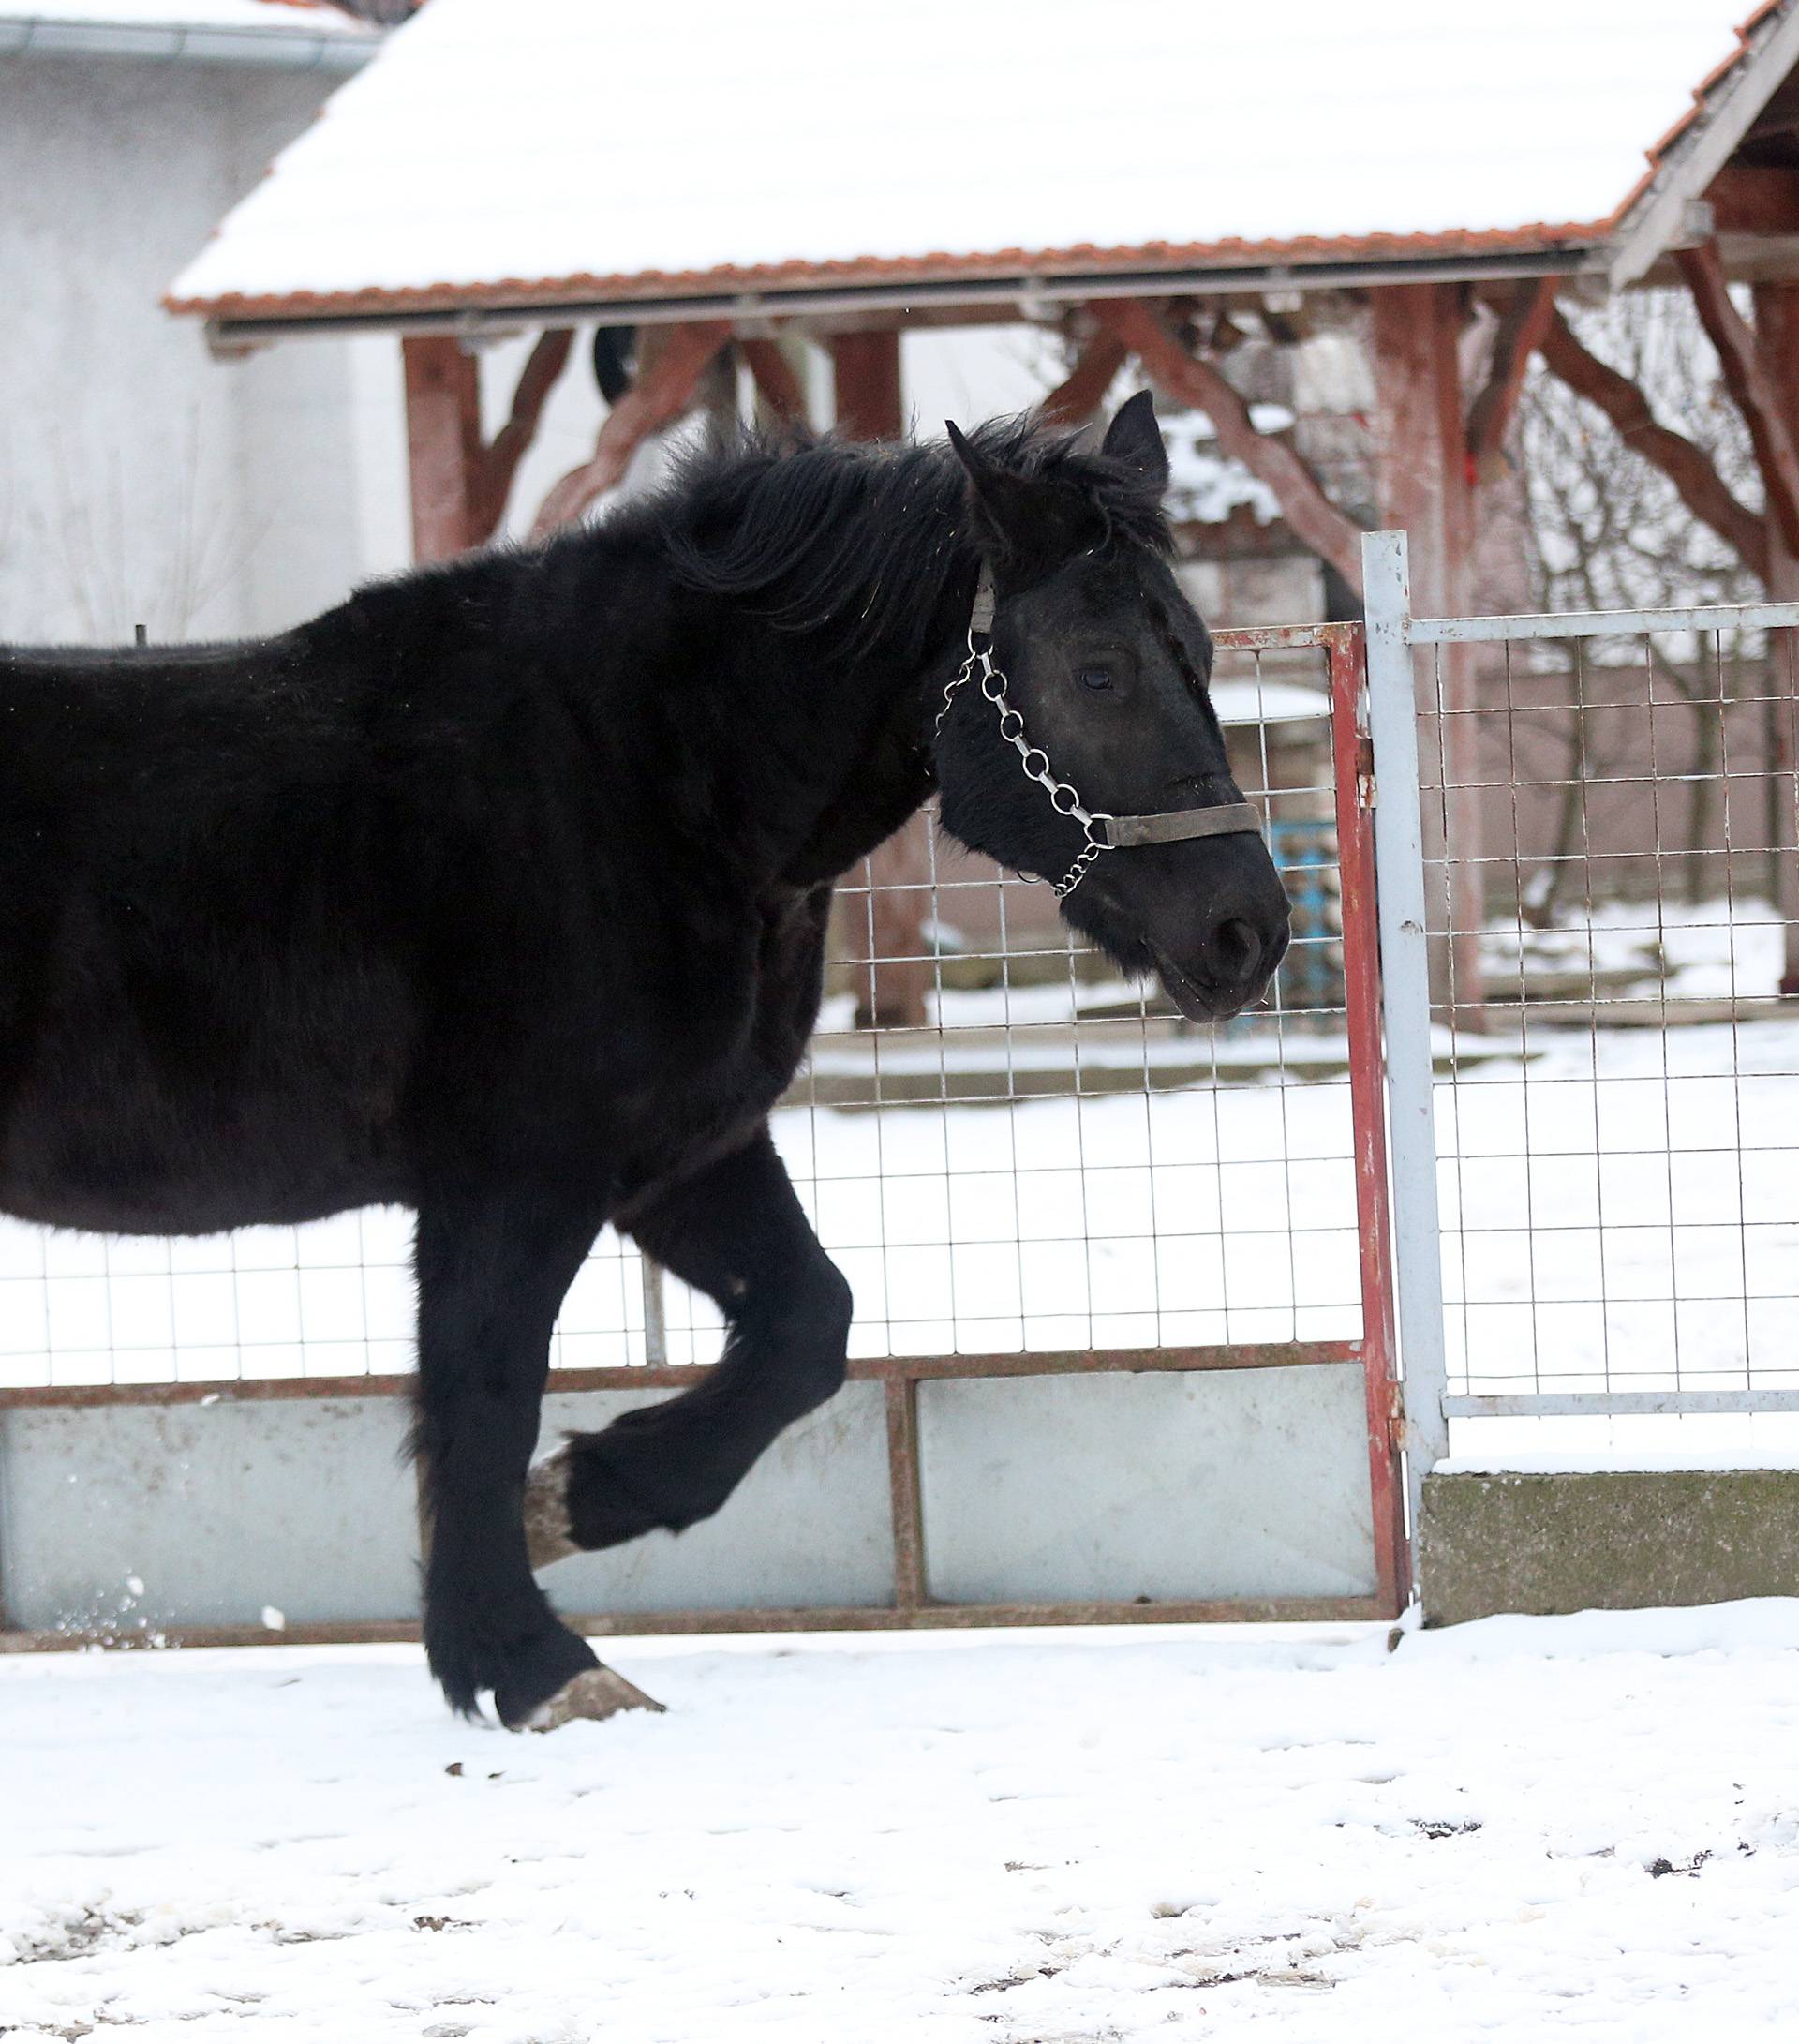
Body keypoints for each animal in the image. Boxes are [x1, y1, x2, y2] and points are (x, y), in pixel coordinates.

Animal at [0, 394, 1291, 1724]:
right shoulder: (516, 1179)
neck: (643, 784)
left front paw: (584, 1502)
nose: (1248, 931)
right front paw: (528, 1663)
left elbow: (805, 1326)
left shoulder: (684, 1155)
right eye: (1099, 669)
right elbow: (483, 1395)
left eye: (1197, 647)